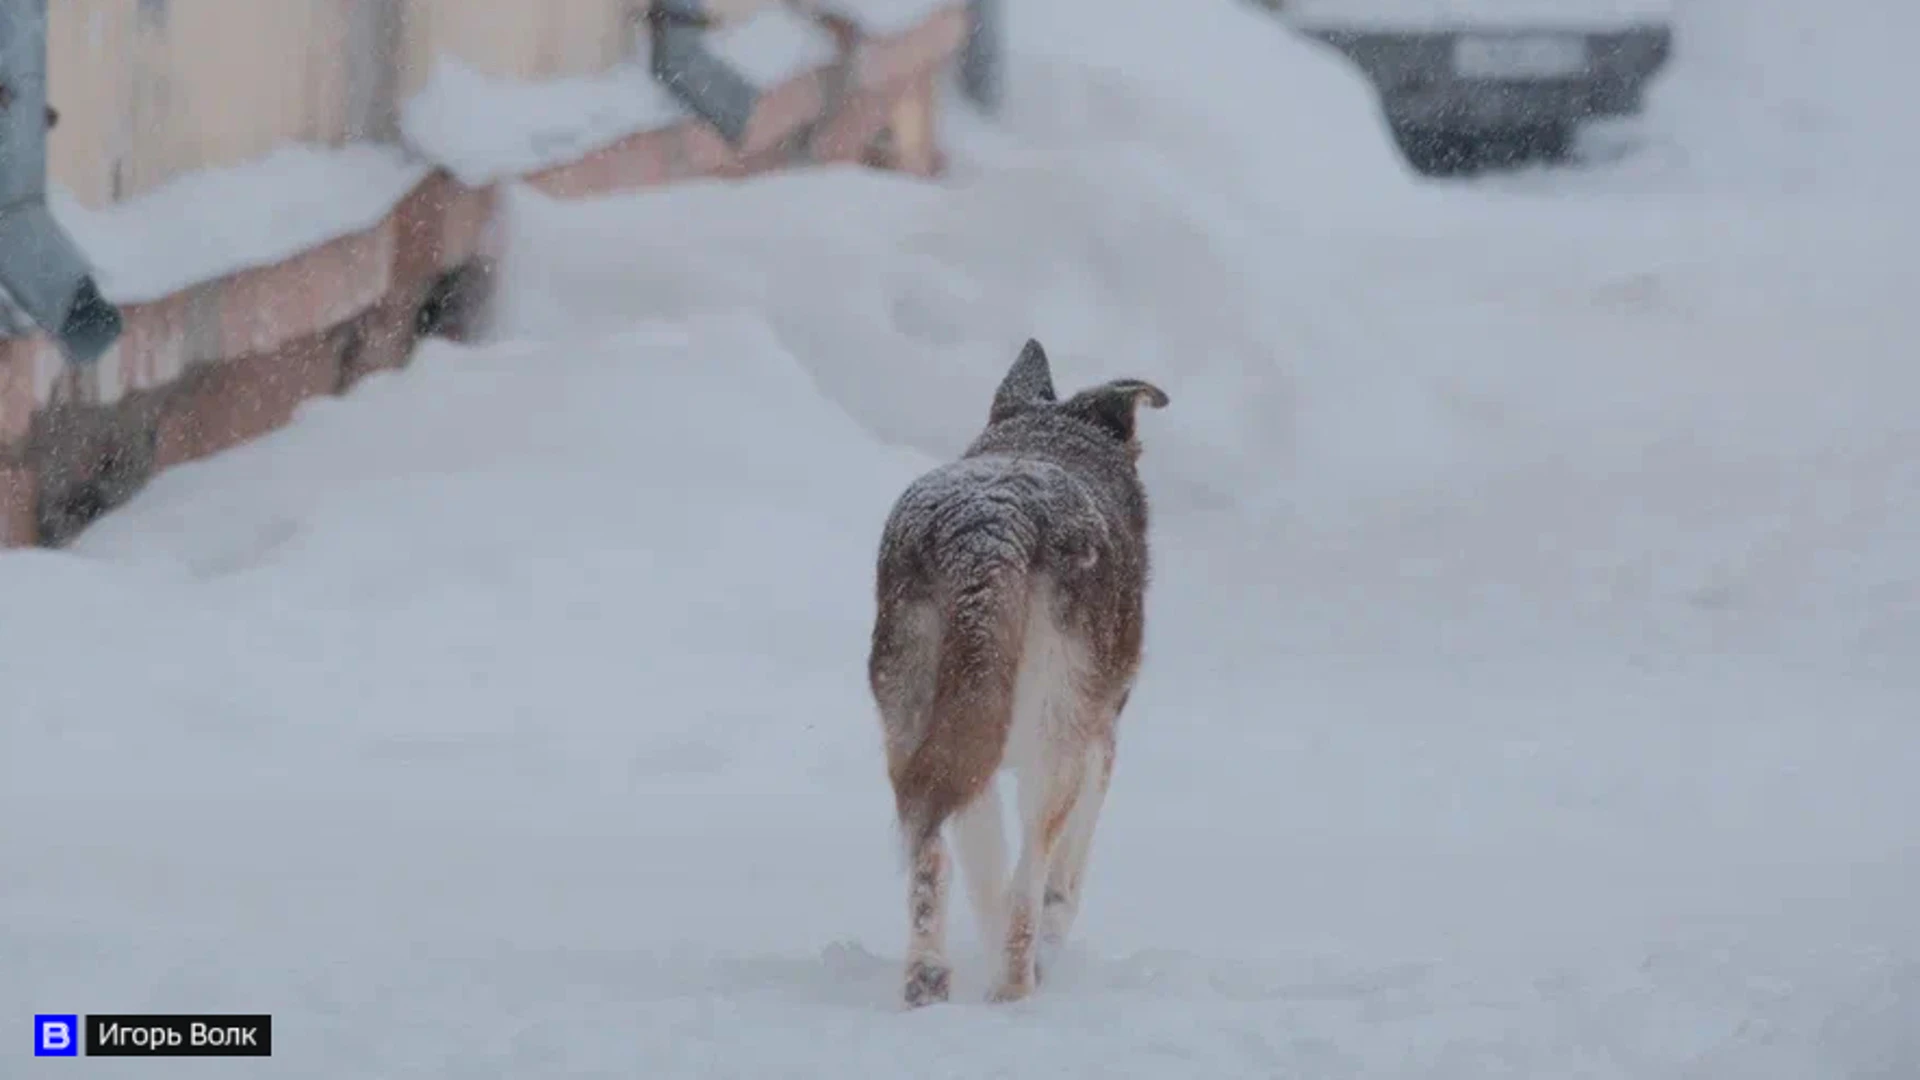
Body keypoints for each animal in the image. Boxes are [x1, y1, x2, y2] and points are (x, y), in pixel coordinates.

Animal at [871, 336, 1167, 999]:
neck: (1045, 436)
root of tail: (987, 529)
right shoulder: (1098, 747)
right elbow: (1060, 884)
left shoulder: (964, 757)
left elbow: (987, 880)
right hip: (1052, 752)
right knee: (1031, 882)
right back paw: (1014, 991)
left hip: (915, 736)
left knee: (932, 859)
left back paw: (928, 979)